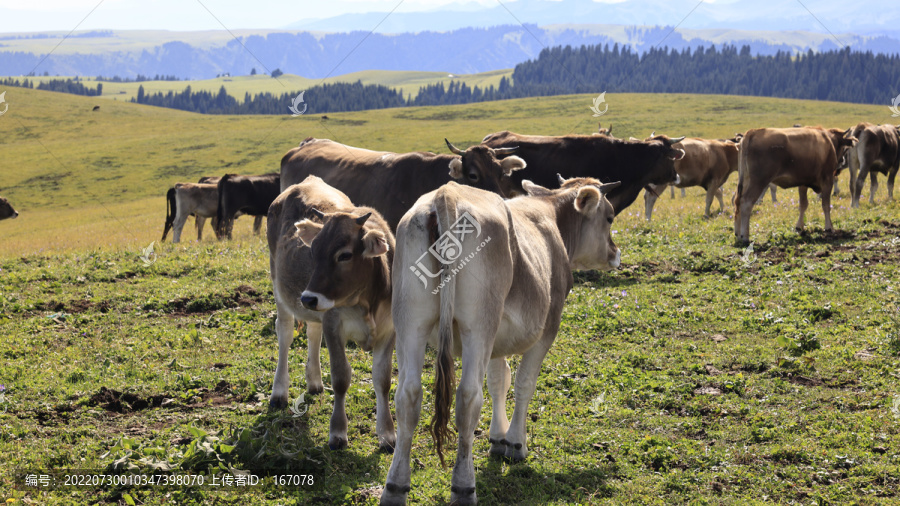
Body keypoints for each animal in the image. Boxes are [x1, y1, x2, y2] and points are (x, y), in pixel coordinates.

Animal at [268, 177, 394, 450]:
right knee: (284, 334)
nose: (307, 298)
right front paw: (337, 432)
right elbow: (341, 377)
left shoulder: (389, 329)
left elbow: (383, 379)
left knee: (313, 332)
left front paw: (387, 434)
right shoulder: (334, 325)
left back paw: (314, 382)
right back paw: (279, 392)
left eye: (344, 255)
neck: (366, 301)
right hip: (279, 287)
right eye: (313, 252)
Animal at [384, 178, 624, 506]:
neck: (549, 213)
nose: (616, 253)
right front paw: (515, 443)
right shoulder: (547, 328)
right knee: (468, 397)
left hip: (411, 321)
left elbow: (498, 381)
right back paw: (463, 487)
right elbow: (524, 383)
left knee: (408, 395)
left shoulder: (496, 341)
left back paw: (394, 487)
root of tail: (447, 193)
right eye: (610, 217)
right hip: (478, 326)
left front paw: (497, 438)